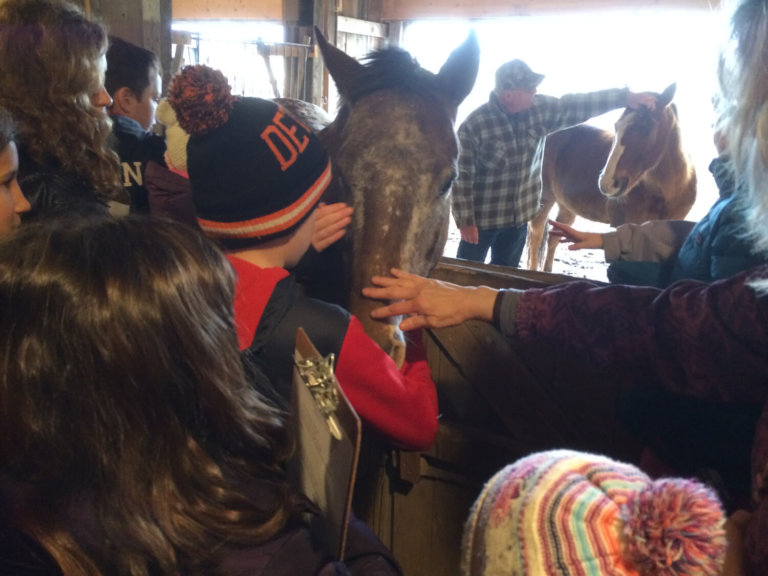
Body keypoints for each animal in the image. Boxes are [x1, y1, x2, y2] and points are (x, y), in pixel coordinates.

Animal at [528, 83, 696, 272]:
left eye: (645, 128)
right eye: (617, 126)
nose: (607, 183)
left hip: (566, 207)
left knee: (553, 238)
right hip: (545, 199)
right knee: (536, 236)